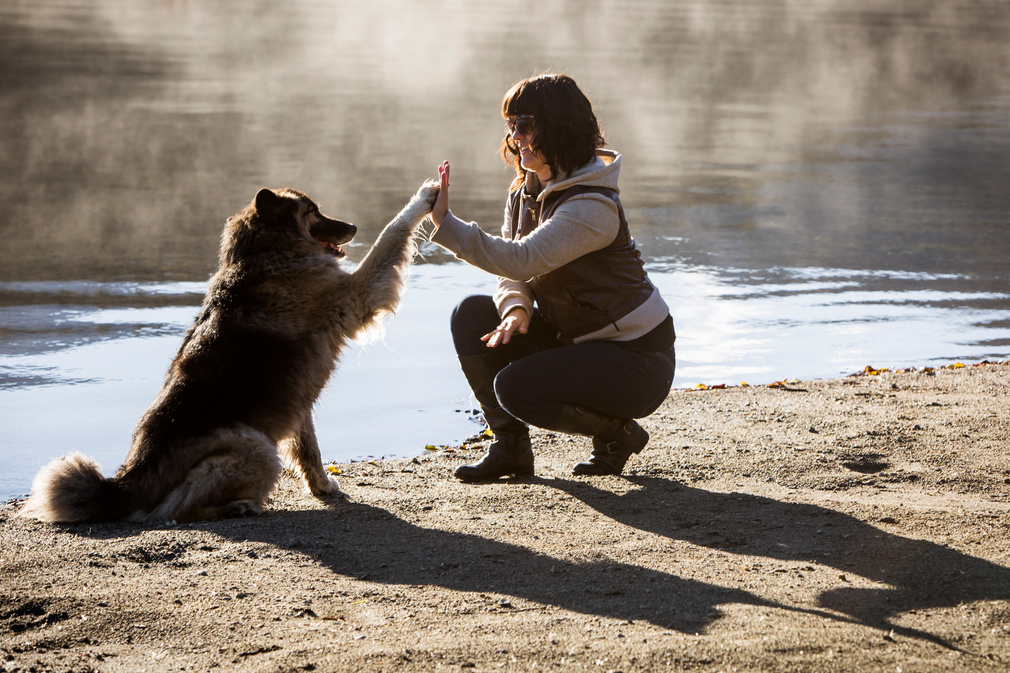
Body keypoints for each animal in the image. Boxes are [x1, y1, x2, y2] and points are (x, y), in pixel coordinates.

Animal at [19, 180, 438, 521]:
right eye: (313, 212)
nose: (352, 227)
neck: (264, 254)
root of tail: (125, 481)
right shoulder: (356, 295)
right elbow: (393, 231)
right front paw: (423, 197)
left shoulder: (297, 402)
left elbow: (309, 449)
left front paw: (322, 486)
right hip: (256, 446)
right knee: (171, 510)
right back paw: (234, 507)